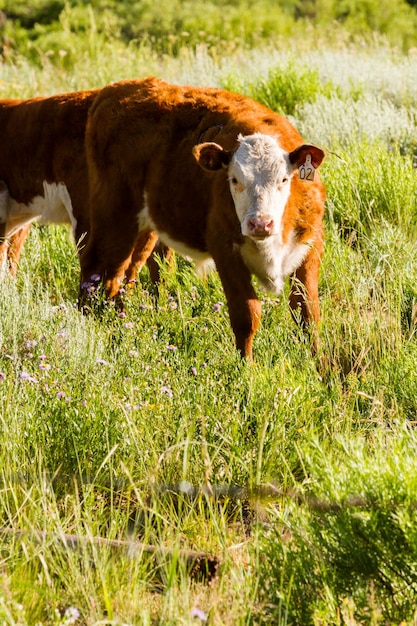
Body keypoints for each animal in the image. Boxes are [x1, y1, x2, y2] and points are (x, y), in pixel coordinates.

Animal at [82, 77, 324, 360]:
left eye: (284, 179)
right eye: (234, 180)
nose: (260, 223)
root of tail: (115, 89)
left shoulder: (310, 247)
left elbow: (307, 312)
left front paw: (318, 364)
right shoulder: (225, 250)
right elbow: (247, 315)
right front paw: (246, 367)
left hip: (143, 226)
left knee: (127, 270)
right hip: (114, 215)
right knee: (99, 268)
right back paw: (91, 324)